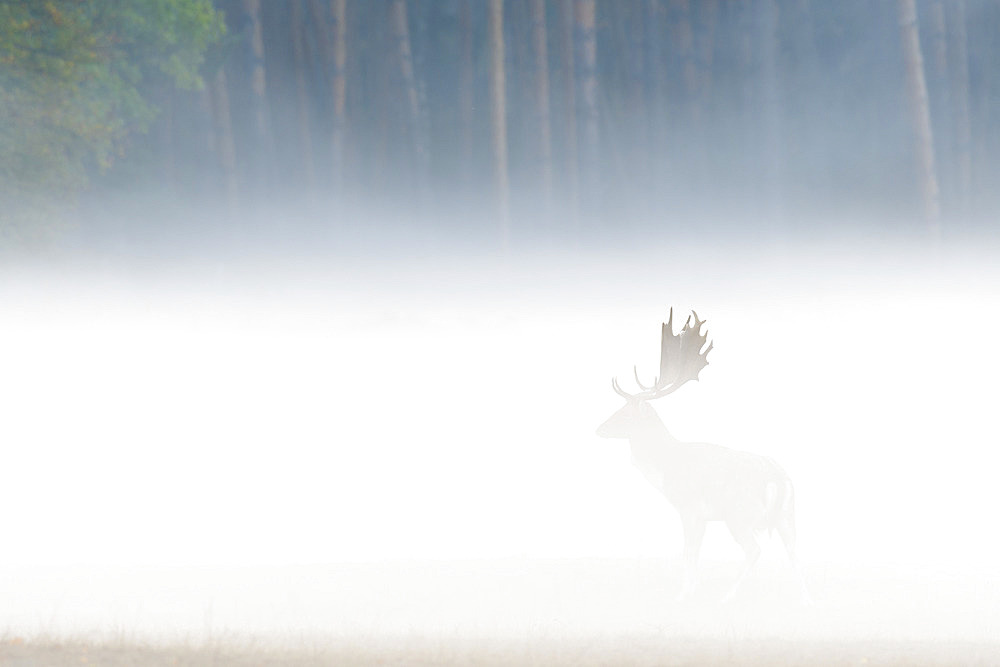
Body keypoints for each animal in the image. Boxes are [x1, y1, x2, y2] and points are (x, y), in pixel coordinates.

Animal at [596, 310, 808, 604]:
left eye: (625, 412)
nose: (599, 429)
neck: (664, 467)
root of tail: (777, 476)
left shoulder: (689, 507)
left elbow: (689, 552)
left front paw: (683, 594)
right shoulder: (703, 517)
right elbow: (694, 553)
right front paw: (691, 589)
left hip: (739, 514)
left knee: (754, 550)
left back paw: (727, 595)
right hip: (788, 517)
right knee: (796, 552)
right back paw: (804, 598)